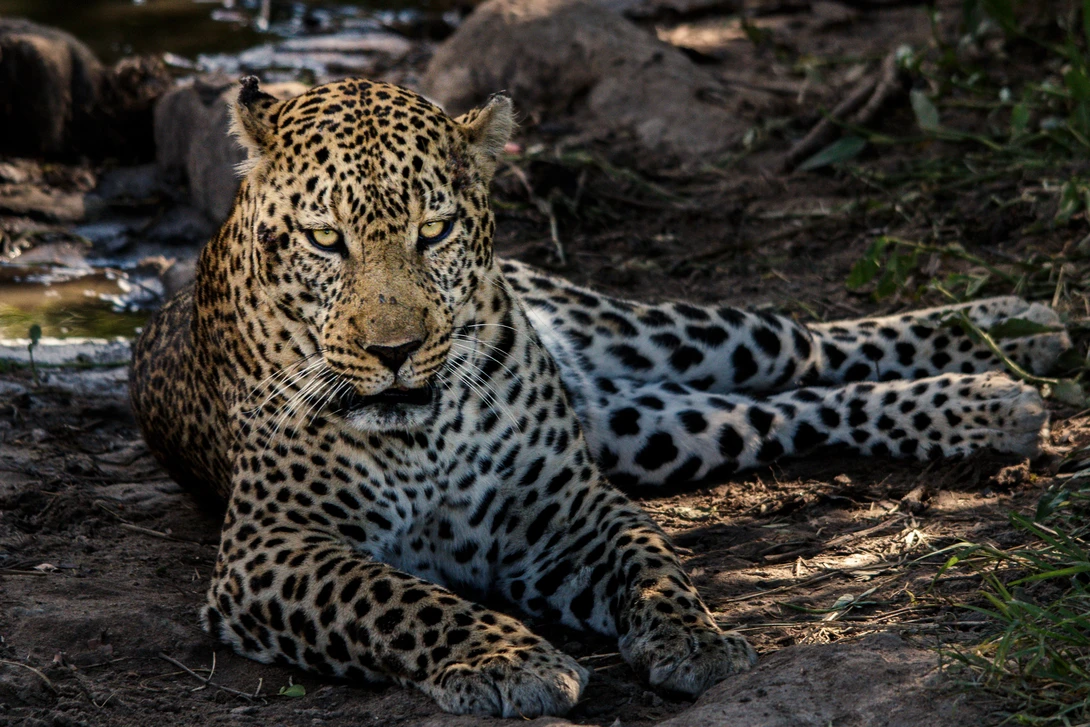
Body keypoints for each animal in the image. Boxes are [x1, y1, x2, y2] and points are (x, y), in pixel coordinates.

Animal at [130, 76, 1070, 718]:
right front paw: (511, 660)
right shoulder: (271, 547)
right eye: (326, 239)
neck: (425, 431)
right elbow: (399, 597)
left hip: (664, 337)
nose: (393, 352)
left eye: (434, 230)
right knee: (782, 412)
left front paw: (695, 637)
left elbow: (651, 564)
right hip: (656, 428)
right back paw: (995, 398)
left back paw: (1011, 335)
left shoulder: (569, 503)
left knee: (800, 339)